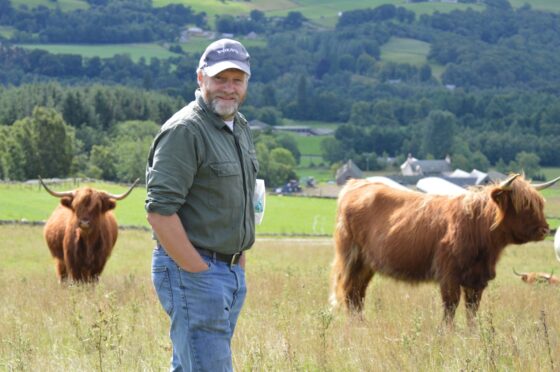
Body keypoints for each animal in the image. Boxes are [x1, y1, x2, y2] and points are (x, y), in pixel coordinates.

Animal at [330, 174, 560, 326]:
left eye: (539, 204)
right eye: (524, 206)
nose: (545, 229)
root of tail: (356, 183)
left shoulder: (477, 280)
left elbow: (472, 310)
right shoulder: (449, 276)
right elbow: (450, 307)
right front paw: (447, 333)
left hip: (366, 264)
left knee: (357, 294)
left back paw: (361, 323)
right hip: (351, 258)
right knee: (349, 291)